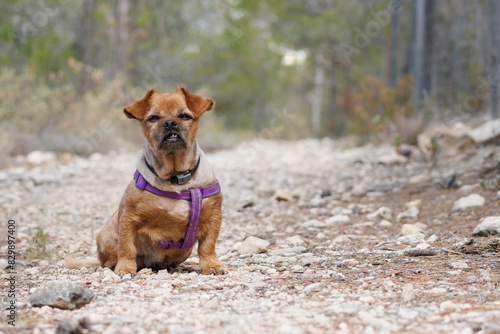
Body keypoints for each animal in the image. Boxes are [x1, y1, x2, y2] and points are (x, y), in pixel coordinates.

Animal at [67, 87, 228, 276]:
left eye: (184, 116)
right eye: (153, 118)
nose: (170, 123)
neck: (175, 178)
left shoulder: (213, 217)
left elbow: (207, 246)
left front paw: (212, 265)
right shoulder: (129, 218)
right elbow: (127, 247)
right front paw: (125, 267)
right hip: (106, 234)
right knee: (109, 260)